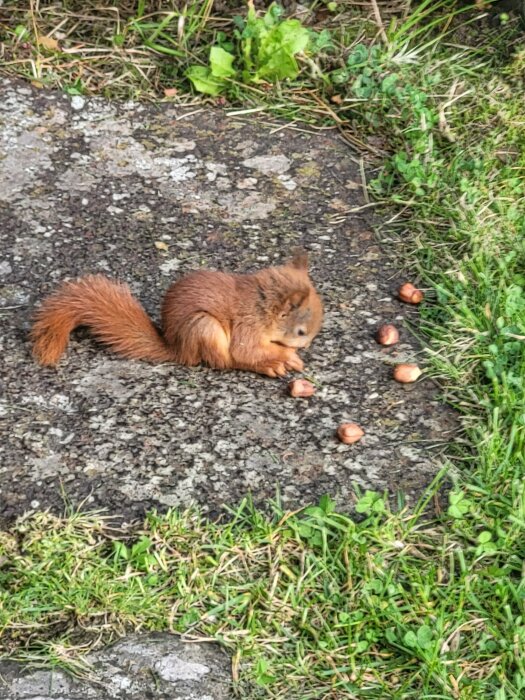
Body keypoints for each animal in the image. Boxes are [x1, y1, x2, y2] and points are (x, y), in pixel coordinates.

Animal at [31, 249, 324, 374]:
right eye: (300, 332)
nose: (307, 346)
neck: (261, 306)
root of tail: (177, 348)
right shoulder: (248, 326)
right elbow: (246, 351)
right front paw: (286, 355)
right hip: (204, 327)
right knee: (226, 362)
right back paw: (267, 366)